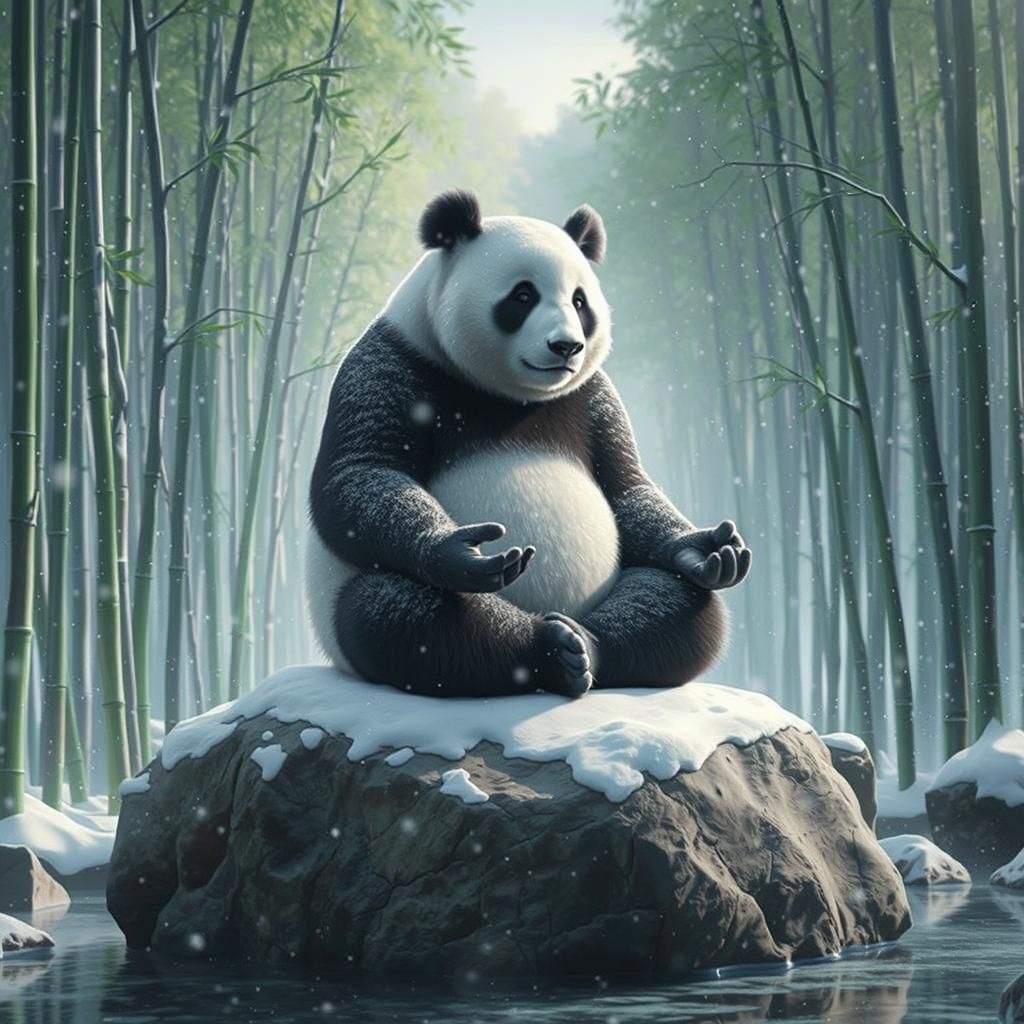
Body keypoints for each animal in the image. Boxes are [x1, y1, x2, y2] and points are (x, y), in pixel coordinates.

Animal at [305, 190, 751, 698]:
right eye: (523, 295)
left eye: (579, 301)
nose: (566, 347)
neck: (514, 397)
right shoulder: (391, 362)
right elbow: (360, 474)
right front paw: (457, 550)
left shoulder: (594, 395)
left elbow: (626, 485)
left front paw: (705, 547)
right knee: (397, 616)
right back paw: (549, 648)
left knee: (683, 602)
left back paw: (589, 644)